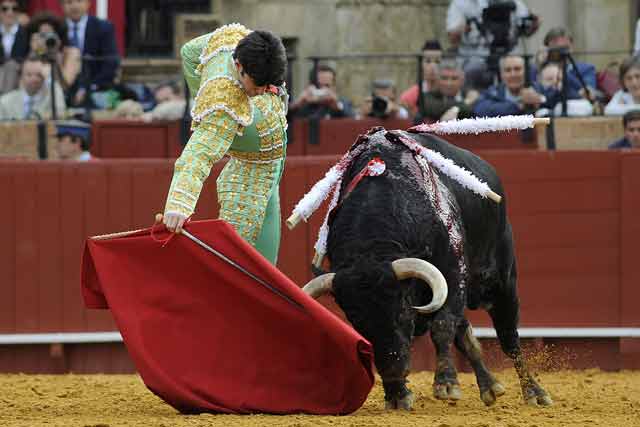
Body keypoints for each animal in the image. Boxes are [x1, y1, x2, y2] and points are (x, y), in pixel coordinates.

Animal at [304, 130, 552, 412]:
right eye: (356, 321)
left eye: (402, 311)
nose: (391, 370)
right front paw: (397, 395)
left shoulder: (453, 274)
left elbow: (442, 326)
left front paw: (446, 384)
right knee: (465, 334)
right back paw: (490, 387)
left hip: (502, 282)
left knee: (508, 337)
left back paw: (534, 392)